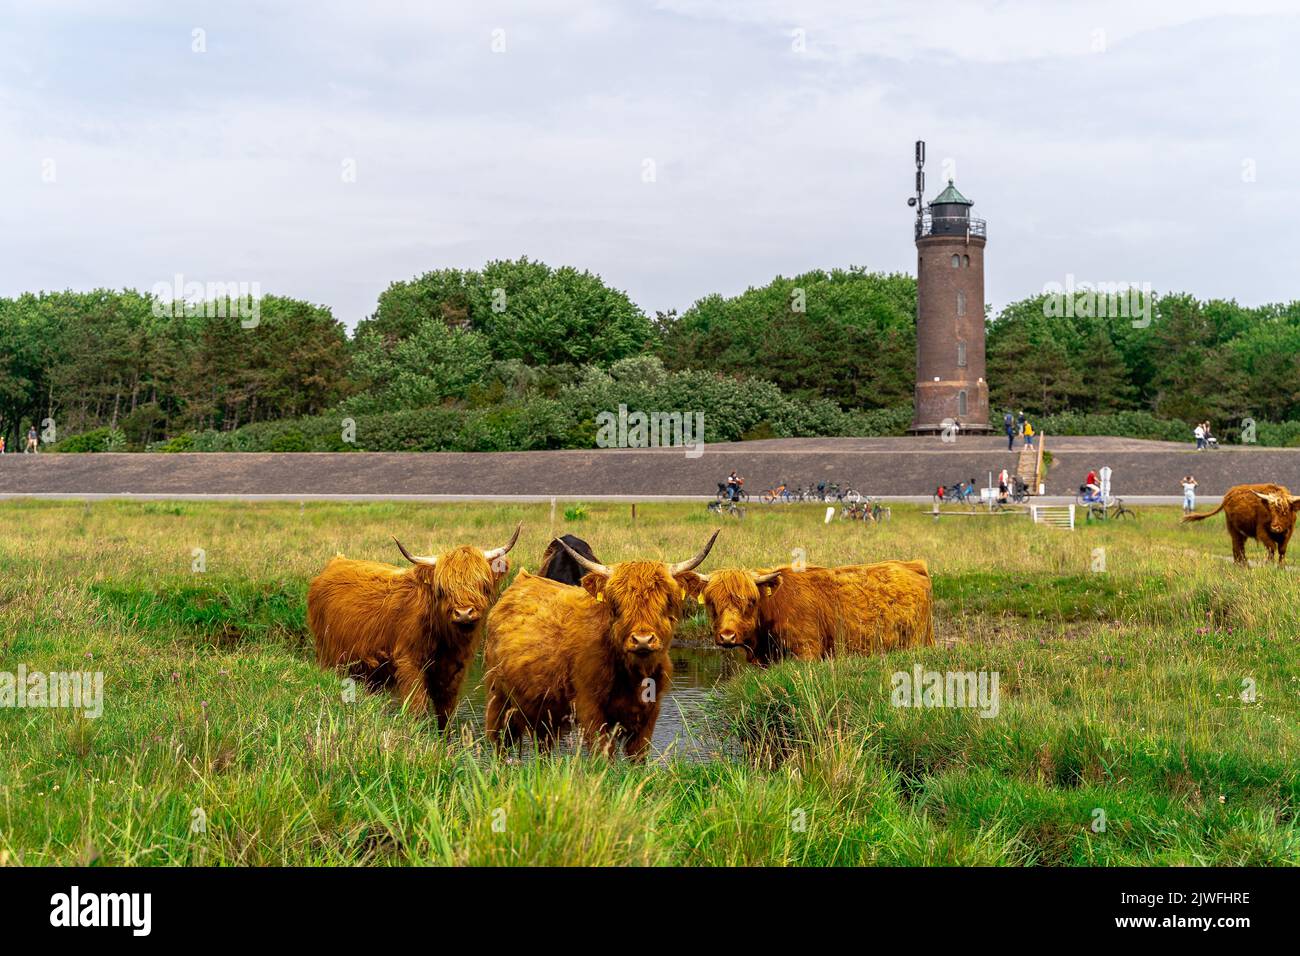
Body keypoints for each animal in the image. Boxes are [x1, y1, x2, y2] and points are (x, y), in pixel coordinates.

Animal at [308, 523, 521, 728]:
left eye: (482, 584)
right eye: (442, 588)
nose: (464, 613)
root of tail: (335, 562)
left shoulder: (454, 671)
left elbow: (445, 715)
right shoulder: (409, 663)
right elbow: (417, 707)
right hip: (328, 655)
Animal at [483, 530, 719, 762]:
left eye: (666, 601)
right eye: (617, 604)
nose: (642, 640)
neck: (632, 675)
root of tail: (519, 581)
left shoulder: (649, 714)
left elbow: (639, 758)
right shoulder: (591, 710)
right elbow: (603, 755)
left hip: (543, 710)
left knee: (543, 747)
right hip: (499, 700)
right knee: (500, 745)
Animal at [681, 559, 934, 665]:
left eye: (751, 602)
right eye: (711, 603)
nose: (727, 636)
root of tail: (912, 565)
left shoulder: (807, 651)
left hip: (916, 641)